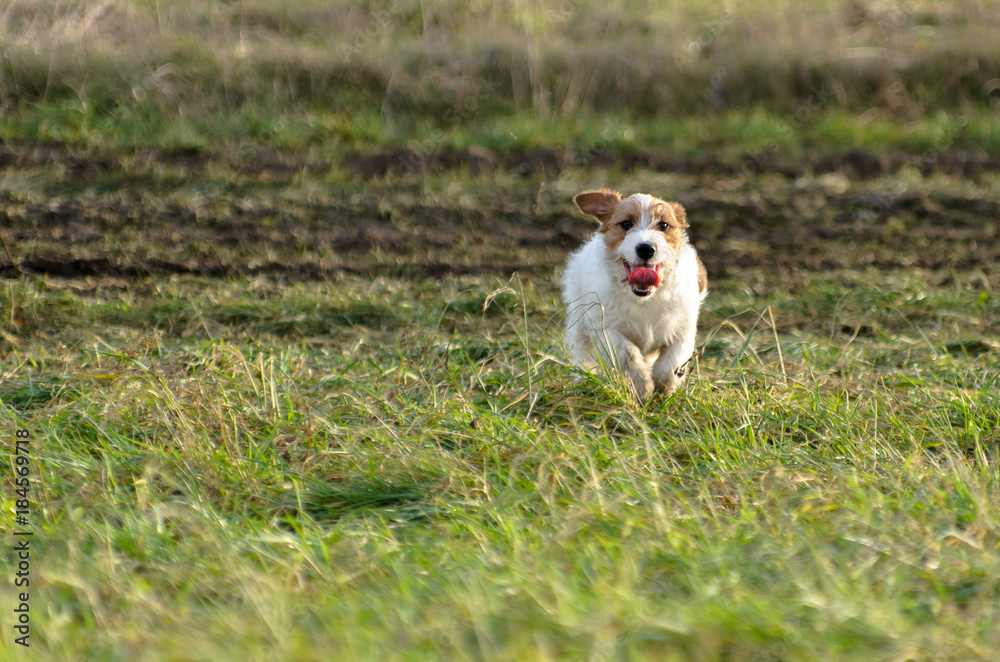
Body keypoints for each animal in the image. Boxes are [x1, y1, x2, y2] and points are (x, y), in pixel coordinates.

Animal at [560, 188, 708, 404]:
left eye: (663, 225)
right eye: (626, 224)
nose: (646, 248)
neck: (644, 298)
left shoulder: (682, 328)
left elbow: (672, 363)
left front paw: (661, 389)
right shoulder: (606, 328)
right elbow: (627, 353)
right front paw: (642, 385)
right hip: (579, 324)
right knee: (582, 353)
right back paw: (584, 380)